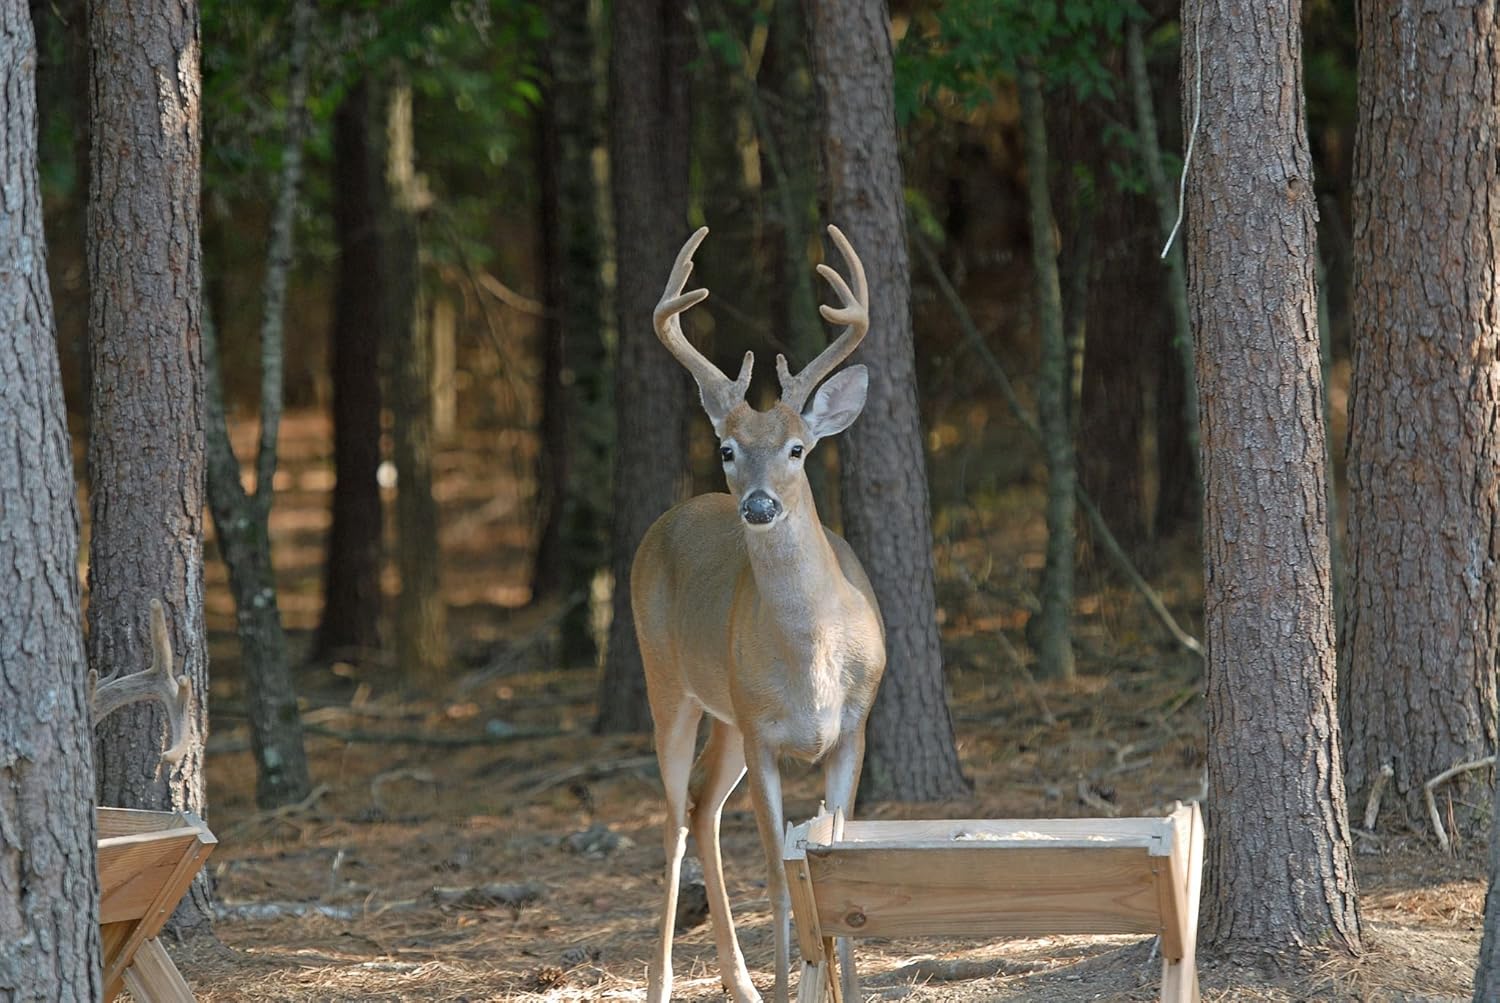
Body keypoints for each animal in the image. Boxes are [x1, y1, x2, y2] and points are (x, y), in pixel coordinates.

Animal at [633, 224, 885, 1003]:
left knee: (702, 805)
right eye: (727, 447)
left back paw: (737, 978)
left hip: (723, 717)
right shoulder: (763, 733)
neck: (811, 663)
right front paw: (789, 982)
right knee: (673, 819)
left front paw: (844, 987)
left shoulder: (854, 725)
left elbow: (839, 856)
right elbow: (777, 874)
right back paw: (663, 981)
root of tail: (669, 517)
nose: (760, 504)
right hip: (670, 685)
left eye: (799, 449)